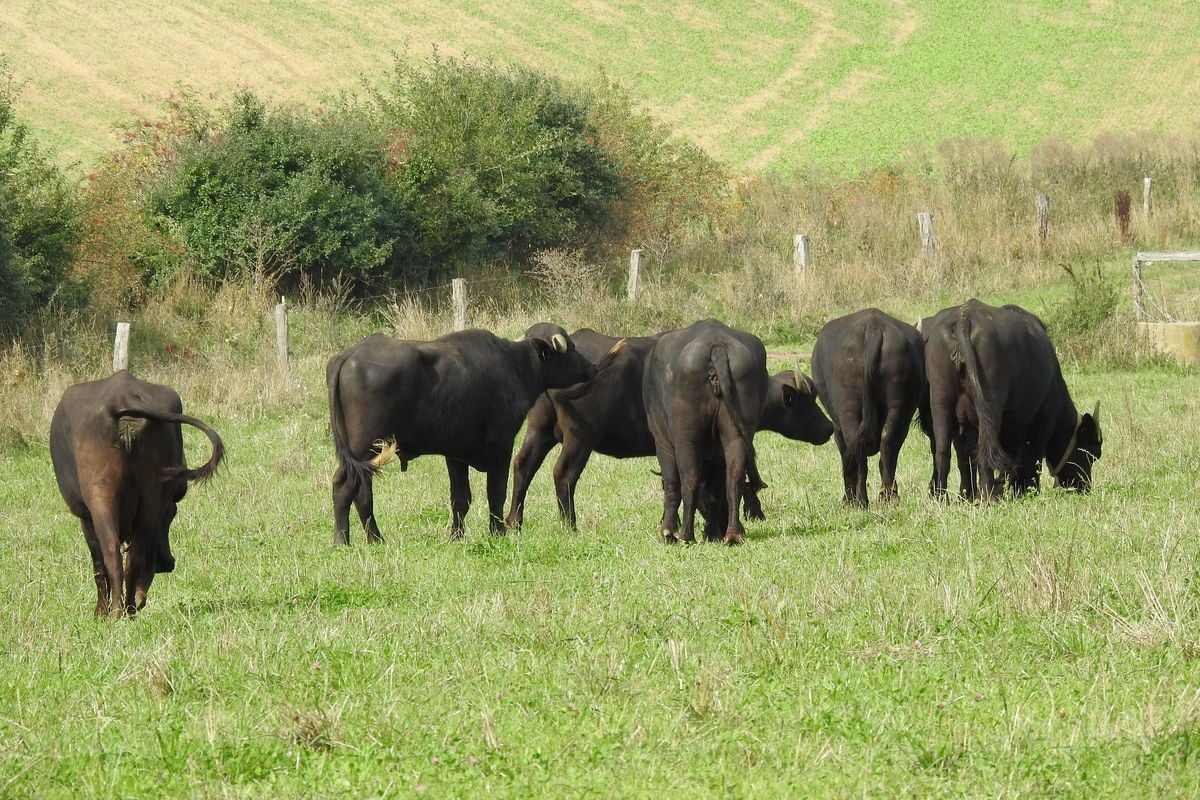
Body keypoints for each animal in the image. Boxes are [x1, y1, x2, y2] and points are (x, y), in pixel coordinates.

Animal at [49, 371, 225, 618]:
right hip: (151, 499)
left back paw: (115, 613)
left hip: (100, 497)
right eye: (172, 514)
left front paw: (99, 611)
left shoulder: (85, 517)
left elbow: (98, 566)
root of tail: (123, 399)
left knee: (112, 555)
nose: (167, 563)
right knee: (136, 555)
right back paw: (131, 608)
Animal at [326, 326, 592, 544]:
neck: (515, 366)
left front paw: (456, 535)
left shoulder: (455, 454)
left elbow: (460, 497)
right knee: (351, 486)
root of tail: (348, 355)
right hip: (367, 446)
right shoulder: (501, 444)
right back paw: (353, 539)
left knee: (352, 487)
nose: (591, 366)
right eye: (571, 349)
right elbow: (496, 491)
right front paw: (497, 532)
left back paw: (362, 539)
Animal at [648, 319, 768, 544]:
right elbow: (716, 492)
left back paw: (685, 535)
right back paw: (732, 534)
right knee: (734, 477)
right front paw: (712, 530)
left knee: (689, 479)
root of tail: (716, 348)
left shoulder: (662, 442)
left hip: (687, 438)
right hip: (736, 434)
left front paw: (668, 531)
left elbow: (672, 484)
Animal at [816, 309, 926, 506]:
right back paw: (888, 497)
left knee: (857, 451)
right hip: (899, 405)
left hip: (848, 410)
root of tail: (873, 328)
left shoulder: (836, 428)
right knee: (888, 444)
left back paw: (859, 500)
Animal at [916, 299, 1104, 501]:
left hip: (941, 402)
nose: (1084, 487)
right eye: (1091, 453)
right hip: (990, 408)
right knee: (985, 449)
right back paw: (989, 496)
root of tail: (964, 318)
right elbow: (1031, 457)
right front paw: (1027, 489)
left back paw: (942, 498)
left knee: (943, 451)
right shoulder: (1041, 421)